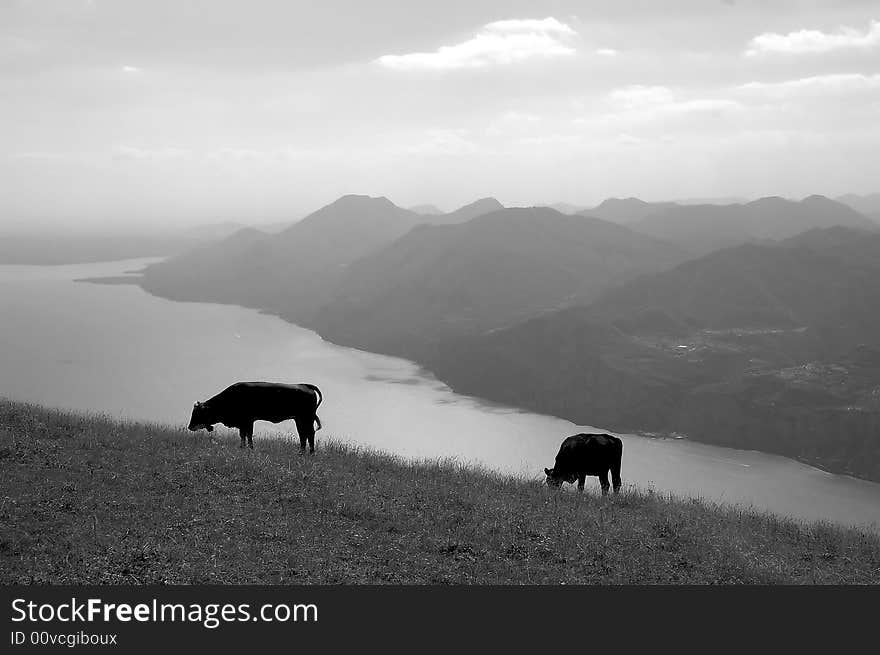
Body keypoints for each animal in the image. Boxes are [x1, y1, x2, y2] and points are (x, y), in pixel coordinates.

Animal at [188, 382, 324, 454]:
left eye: (198, 413)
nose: (189, 427)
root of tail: (305, 385)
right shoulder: (245, 422)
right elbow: (244, 435)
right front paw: (244, 448)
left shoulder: (246, 421)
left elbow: (246, 435)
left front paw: (248, 448)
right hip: (299, 419)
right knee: (303, 435)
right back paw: (301, 452)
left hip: (306, 418)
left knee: (310, 434)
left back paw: (311, 453)